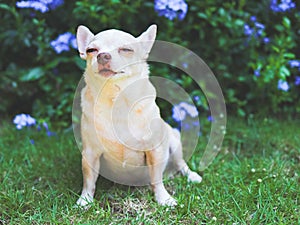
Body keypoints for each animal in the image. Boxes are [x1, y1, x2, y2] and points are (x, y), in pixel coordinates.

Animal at [75, 24, 202, 207]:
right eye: (91, 50)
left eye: (126, 49)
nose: (103, 55)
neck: (116, 100)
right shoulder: (90, 153)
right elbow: (89, 179)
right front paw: (85, 200)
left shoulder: (155, 150)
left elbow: (156, 178)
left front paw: (163, 199)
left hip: (174, 141)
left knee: (181, 163)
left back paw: (192, 176)